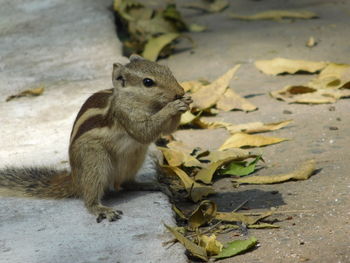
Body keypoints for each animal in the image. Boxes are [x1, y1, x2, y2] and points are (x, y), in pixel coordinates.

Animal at [0, 55, 191, 223]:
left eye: (167, 69)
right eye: (148, 82)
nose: (180, 91)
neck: (148, 106)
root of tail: (76, 180)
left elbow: (167, 129)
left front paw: (186, 100)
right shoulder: (124, 115)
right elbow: (144, 132)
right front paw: (173, 107)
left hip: (135, 156)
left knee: (125, 183)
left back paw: (150, 185)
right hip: (95, 159)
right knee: (90, 197)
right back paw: (101, 209)